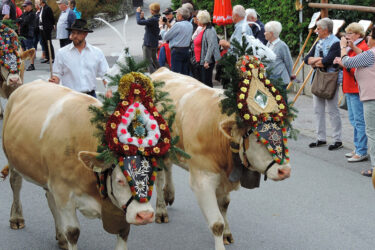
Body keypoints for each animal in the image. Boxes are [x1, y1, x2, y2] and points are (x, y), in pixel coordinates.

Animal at [2, 80, 154, 250]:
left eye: (151, 176)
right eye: (120, 180)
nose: (145, 215)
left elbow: (123, 231)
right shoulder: (64, 193)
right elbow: (73, 232)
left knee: (50, 199)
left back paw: (60, 237)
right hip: (12, 159)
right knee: (15, 183)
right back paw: (16, 218)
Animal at [151, 68, 292, 250]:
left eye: (283, 135)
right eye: (259, 139)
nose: (285, 171)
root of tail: (161, 71)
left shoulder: (225, 179)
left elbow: (224, 205)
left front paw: (227, 234)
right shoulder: (202, 180)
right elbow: (216, 223)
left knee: (168, 168)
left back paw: (169, 194)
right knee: (159, 178)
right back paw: (161, 210)